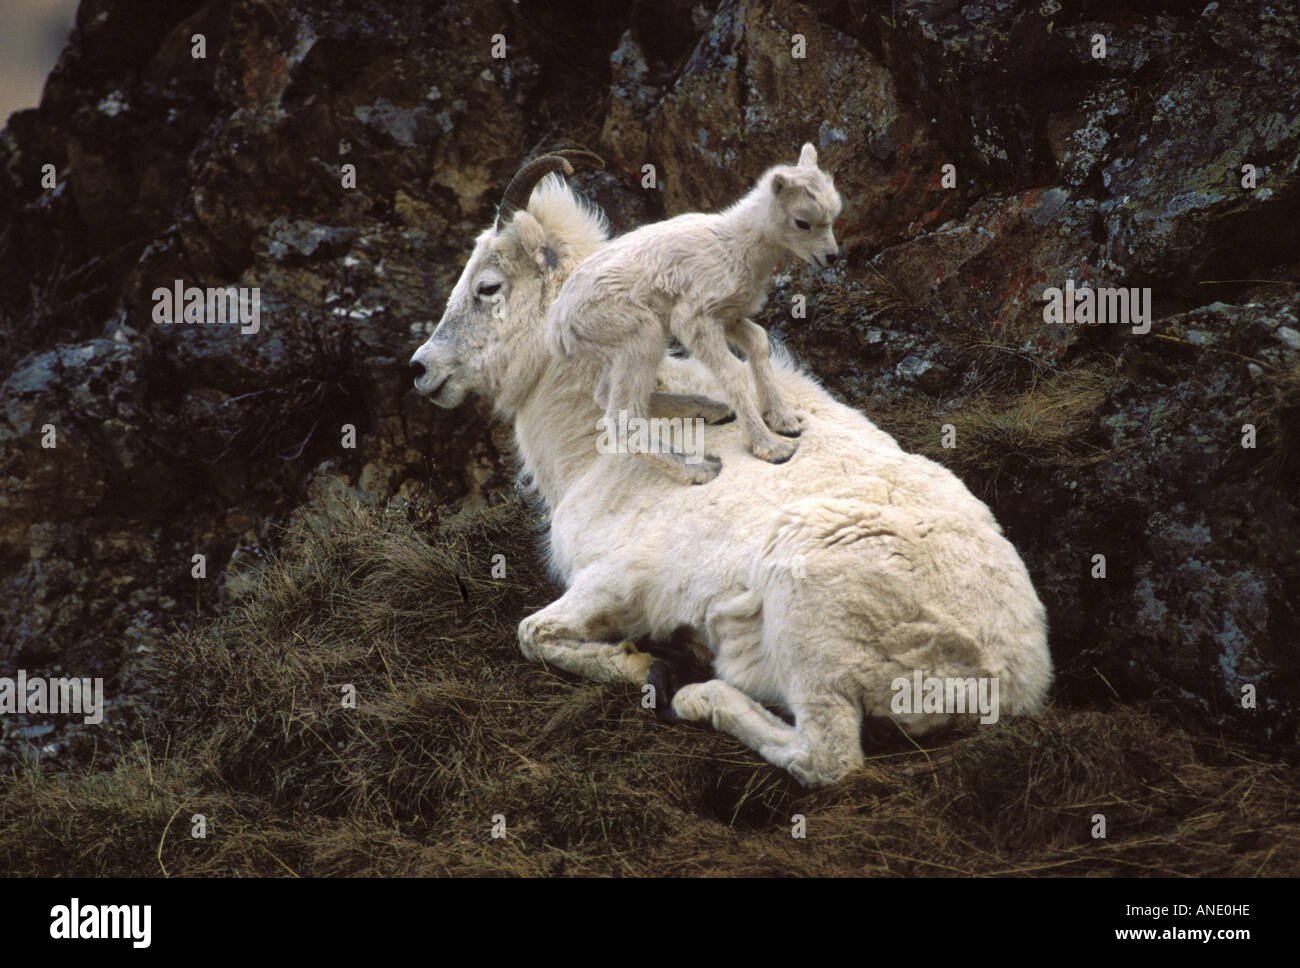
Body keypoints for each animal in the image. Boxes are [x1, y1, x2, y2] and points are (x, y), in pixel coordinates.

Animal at [545, 142, 843, 484]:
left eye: (833, 217)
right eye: (802, 222)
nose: (831, 257)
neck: (734, 247)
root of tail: (556, 329)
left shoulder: (729, 317)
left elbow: (758, 342)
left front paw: (785, 421)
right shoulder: (694, 320)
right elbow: (732, 371)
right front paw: (773, 448)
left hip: (620, 352)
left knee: (606, 397)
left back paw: (711, 413)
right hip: (642, 337)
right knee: (620, 419)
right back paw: (701, 469)